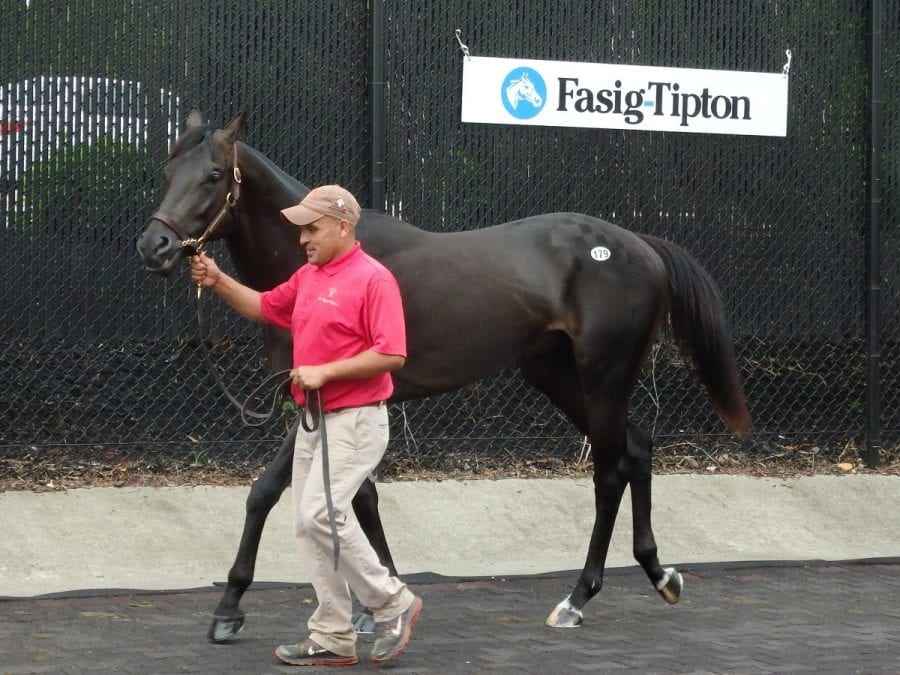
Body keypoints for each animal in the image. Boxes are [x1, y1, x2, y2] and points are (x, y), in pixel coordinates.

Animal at [135, 112, 752, 644]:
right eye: (166, 172)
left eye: (213, 175)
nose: (154, 247)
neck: (325, 263)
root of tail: (642, 245)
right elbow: (361, 498)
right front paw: (378, 602)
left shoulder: (314, 394)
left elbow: (266, 492)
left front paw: (229, 607)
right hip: (557, 376)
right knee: (638, 448)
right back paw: (658, 574)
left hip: (603, 378)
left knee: (608, 473)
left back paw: (577, 599)